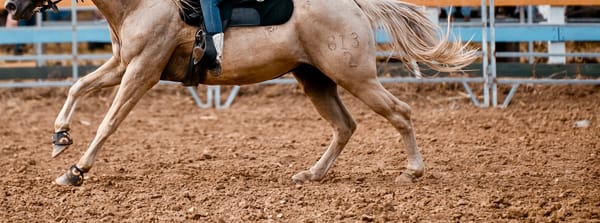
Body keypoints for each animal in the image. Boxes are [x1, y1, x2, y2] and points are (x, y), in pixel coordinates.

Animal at [3, 0, 474, 186]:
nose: (10, 7)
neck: (141, 3)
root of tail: (355, 6)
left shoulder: (141, 71)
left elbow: (107, 123)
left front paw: (75, 171)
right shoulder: (122, 64)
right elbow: (77, 86)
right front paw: (60, 137)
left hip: (354, 76)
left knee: (400, 112)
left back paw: (412, 171)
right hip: (314, 79)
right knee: (345, 126)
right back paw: (311, 174)